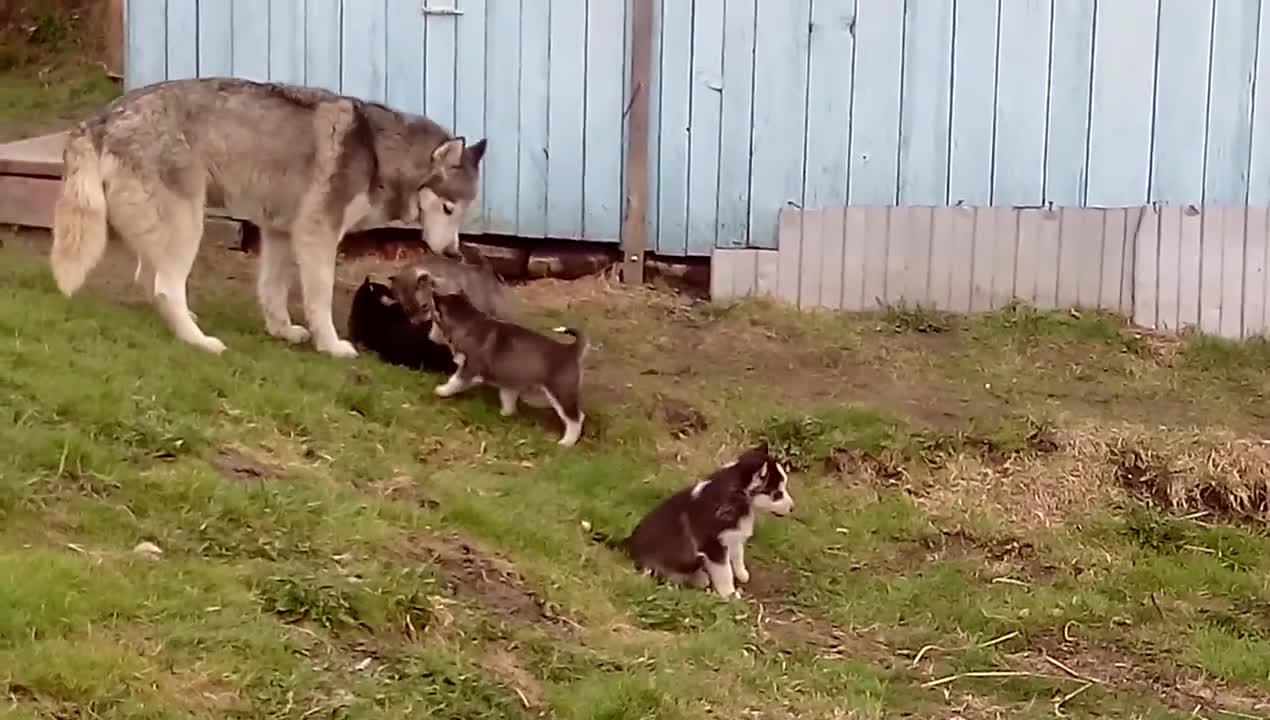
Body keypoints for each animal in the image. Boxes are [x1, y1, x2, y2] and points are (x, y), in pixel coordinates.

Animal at [49, 78, 485, 358]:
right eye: (448, 208)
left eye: (463, 211)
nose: (453, 252)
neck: (378, 150)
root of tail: (103, 117)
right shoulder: (317, 235)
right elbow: (319, 298)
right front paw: (330, 345)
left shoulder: (278, 233)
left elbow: (273, 289)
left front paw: (281, 330)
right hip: (188, 224)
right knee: (164, 287)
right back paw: (198, 341)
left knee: (149, 280)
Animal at [617, 441, 792, 599]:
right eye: (777, 494)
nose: (792, 508)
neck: (738, 500)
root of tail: (627, 544)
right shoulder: (713, 546)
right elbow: (725, 572)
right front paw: (730, 594)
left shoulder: (732, 536)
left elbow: (737, 555)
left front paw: (742, 574)